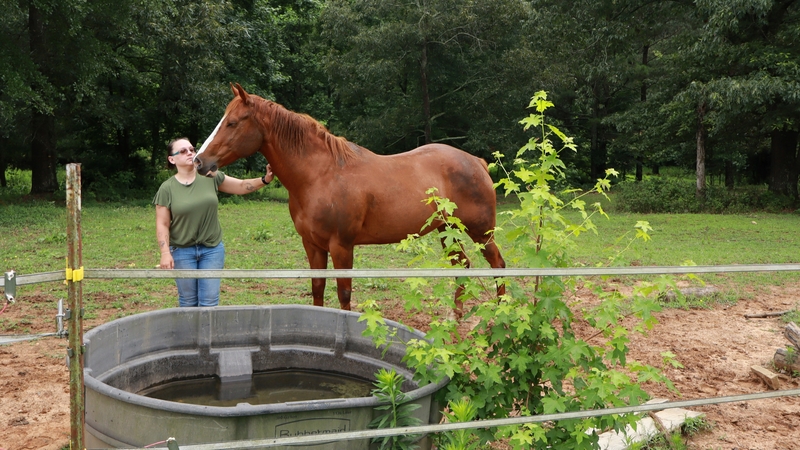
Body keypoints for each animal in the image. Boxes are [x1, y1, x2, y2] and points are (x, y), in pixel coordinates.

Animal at [194, 83, 505, 315]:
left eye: (232, 123)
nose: (199, 161)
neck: (321, 175)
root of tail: (477, 162)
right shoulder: (312, 245)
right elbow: (317, 288)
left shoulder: (341, 246)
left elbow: (344, 292)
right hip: (447, 230)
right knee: (462, 266)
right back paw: (456, 318)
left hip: (481, 232)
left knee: (498, 265)